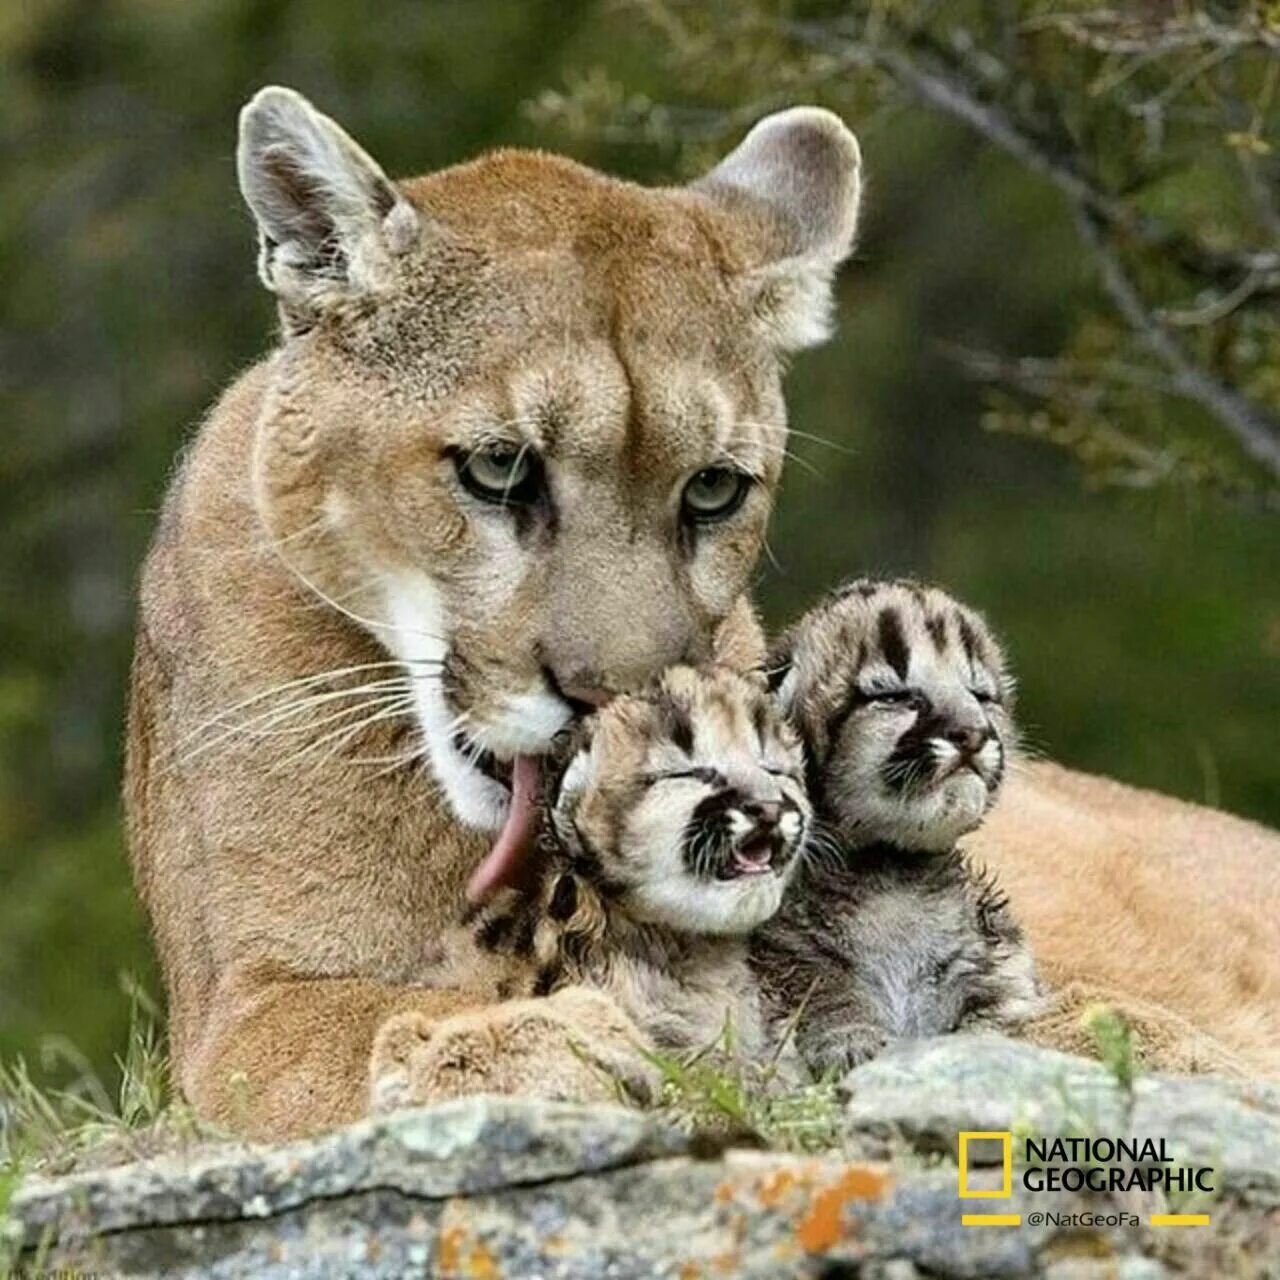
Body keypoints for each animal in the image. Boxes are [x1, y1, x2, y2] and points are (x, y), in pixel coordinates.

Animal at [122, 85, 1280, 1141]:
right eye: (498, 467)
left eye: (714, 489)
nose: (607, 701)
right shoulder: (251, 1003)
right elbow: (372, 1019)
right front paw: (537, 1040)